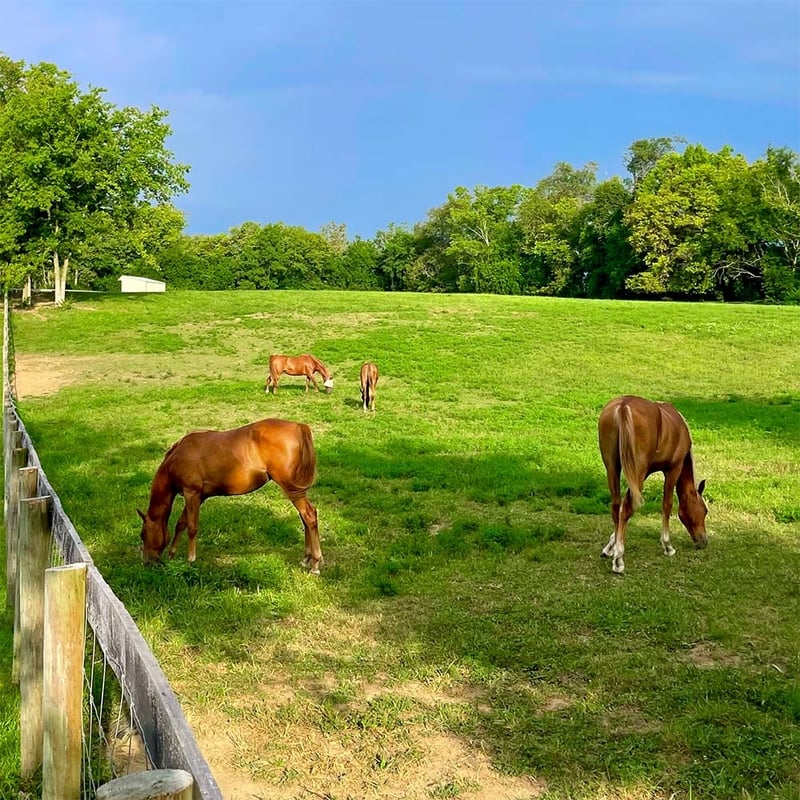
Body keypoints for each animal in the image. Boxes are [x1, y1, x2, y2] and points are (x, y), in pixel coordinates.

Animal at [137, 418, 323, 574]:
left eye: (143, 534)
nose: (147, 562)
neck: (177, 458)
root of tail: (298, 427)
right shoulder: (198, 497)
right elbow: (181, 524)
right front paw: (172, 553)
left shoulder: (191, 494)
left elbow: (191, 527)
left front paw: (191, 559)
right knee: (305, 517)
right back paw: (306, 558)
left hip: (292, 489)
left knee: (309, 516)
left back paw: (315, 563)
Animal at [598, 395, 708, 574]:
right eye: (705, 511)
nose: (704, 540)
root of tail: (623, 406)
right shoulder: (673, 470)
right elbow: (667, 504)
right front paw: (667, 545)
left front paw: (609, 547)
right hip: (637, 473)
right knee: (626, 509)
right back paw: (619, 559)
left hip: (612, 468)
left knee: (616, 507)